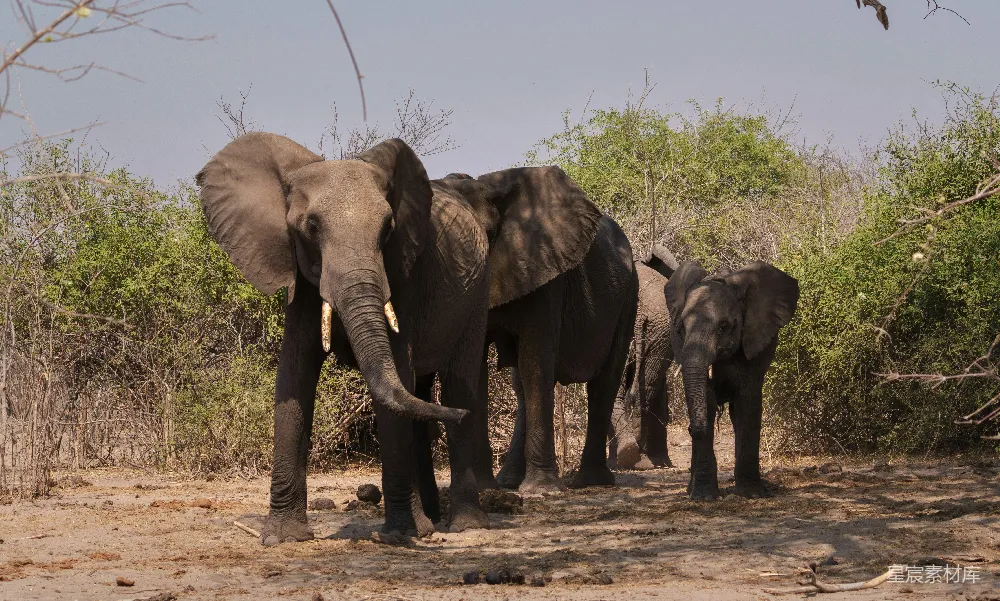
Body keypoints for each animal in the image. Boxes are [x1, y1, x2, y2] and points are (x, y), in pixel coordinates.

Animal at [195, 133, 491, 544]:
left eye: (387, 229)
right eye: (311, 227)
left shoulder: (402, 276)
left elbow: (396, 375)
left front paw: (400, 535)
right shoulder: (300, 279)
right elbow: (293, 376)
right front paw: (284, 537)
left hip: (477, 292)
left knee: (456, 382)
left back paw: (463, 524)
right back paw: (432, 520)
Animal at [435, 168, 639, 493]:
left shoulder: (546, 275)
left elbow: (536, 362)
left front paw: (541, 491)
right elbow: (478, 368)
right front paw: (484, 489)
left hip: (629, 293)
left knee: (604, 380)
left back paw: (589, 481)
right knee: (521, 386)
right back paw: (507, 482)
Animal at [665, 260, 799, 500]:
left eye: (724, 327)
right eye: (680, 329)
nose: (690, 430)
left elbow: (747, 403)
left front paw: (752, 494)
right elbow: (707, 402)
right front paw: (703, 497)